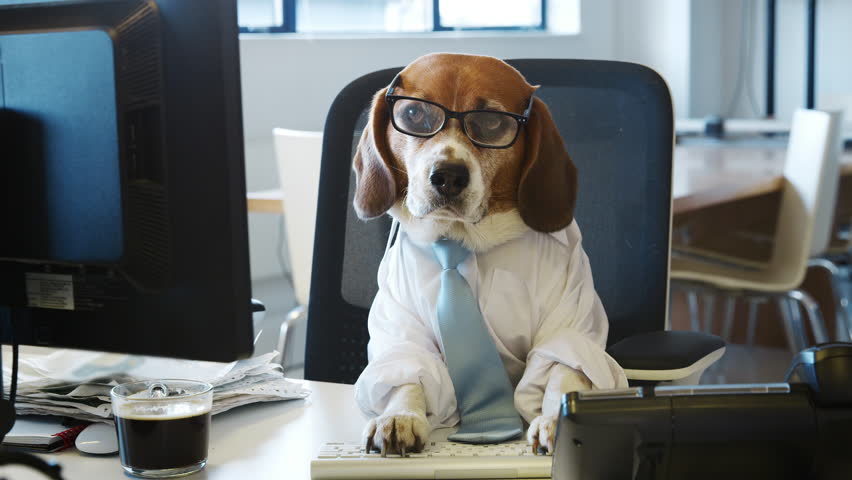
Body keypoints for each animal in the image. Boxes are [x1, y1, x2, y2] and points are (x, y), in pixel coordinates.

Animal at [352, 54, 624, 456]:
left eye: (491, 122)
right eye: (414, 114)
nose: (448, 175)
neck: (464, 241)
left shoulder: (570, 323)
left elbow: (564, 370)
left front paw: (556, 420)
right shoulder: (402, 329)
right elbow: (407, 373)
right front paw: (400, 417)